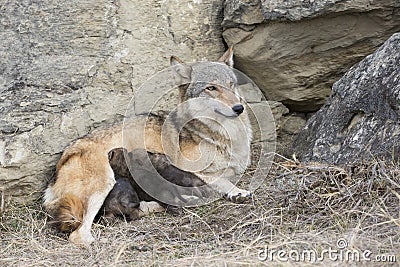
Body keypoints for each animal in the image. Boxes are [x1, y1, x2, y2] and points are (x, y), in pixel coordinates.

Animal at [43, 48, 253, 247]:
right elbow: (221, 180)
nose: (238, 108)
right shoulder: (190, 168)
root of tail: (61, 163)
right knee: (78, 234)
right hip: (105, 182)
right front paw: (238, 191)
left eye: (231, 84)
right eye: (211, 88)